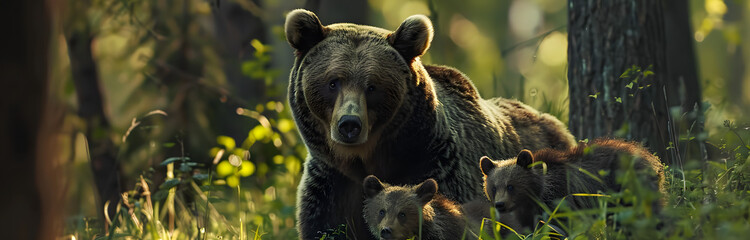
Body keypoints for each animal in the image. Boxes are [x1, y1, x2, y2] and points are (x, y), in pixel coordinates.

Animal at [284, 8, 580, 238]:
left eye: (372, 86)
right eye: (333, 82)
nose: (349, 124)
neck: (369, 158)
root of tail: (560, 127)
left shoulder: (435, 166)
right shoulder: (332, 185)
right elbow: (325, 228)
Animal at [482, 139, 664, 232]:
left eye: (510, 186)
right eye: (493, 187)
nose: (500, 204)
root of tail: (650, 156)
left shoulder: (560, 199)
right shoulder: (528, 214)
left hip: (630, 186)